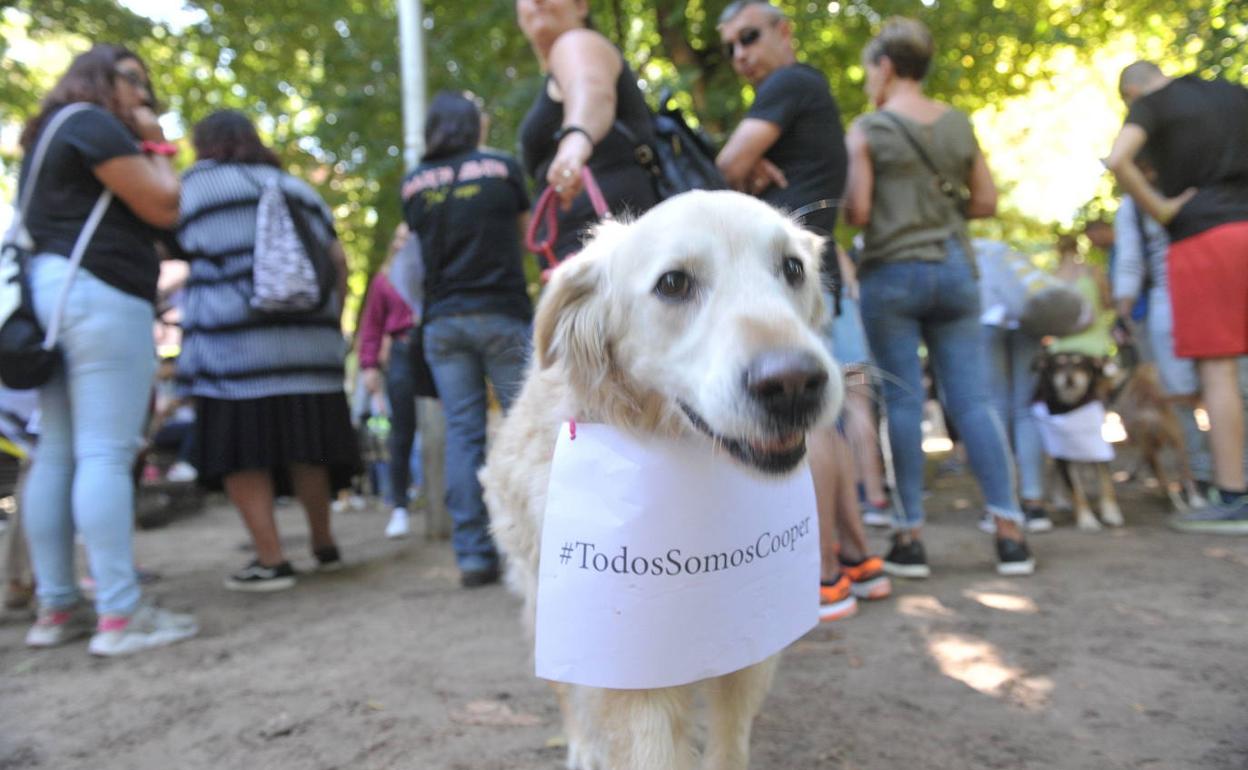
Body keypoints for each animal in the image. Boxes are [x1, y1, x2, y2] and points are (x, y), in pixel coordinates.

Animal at [481, 187, 843, 768]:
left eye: (792, 268)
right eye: (673, 283)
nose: (793, 384)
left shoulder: (749, 650)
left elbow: (728, 745)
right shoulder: (633, 677)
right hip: (544, 603)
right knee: (565, 689)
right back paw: (582, 746)